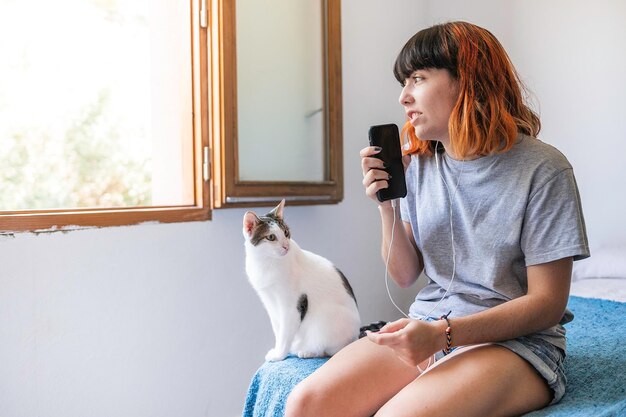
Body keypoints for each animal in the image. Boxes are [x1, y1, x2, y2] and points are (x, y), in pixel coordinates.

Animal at [244, 200, 360, 360]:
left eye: (286, 233)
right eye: (271, 237)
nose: (286, 246)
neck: (266, 263)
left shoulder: (291, 306)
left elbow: (285, 333)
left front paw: (279, 355)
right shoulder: (269, 302)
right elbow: (278, 329)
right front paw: (279, 350)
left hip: (326, 321)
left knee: (333, 350)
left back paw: (308, 351)